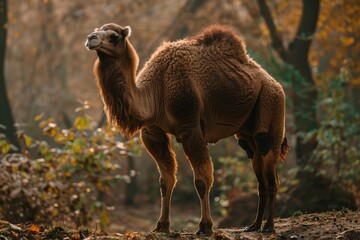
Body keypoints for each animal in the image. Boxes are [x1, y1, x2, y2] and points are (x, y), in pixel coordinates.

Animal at [85, 23, 290, 234]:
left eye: (113, 36)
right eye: (97, 30)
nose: (91, 38)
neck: (154, 91)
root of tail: (275, 83)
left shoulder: (190, 126)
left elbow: (202, 180)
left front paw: (205, 226)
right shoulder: (152, 132)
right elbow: (165, 181)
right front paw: (162, 225)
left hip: (271, 105)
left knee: (270, 167)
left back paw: (269, 227)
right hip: (247, 133)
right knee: (258, 168)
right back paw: (253, 225)